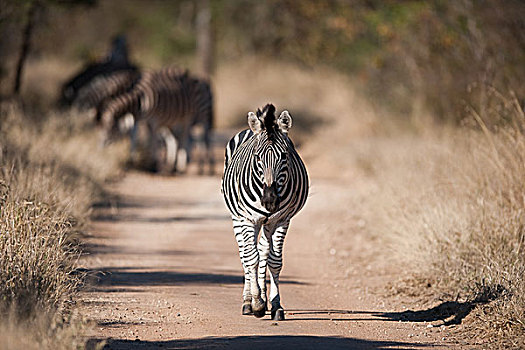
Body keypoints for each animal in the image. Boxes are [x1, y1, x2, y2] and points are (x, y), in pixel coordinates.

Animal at [220, 103, 308, 320]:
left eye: (284, 156)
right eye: (257, 157)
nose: (269, 201)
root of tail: (250, 129)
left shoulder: (282, 220)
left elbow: (274, 261)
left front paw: (275, 305)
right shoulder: (248, 219)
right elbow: (251, 258)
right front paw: (257, 304)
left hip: (267, 223)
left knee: (263, 251)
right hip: (238, 218)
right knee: (245, 253)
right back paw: (248, 302)